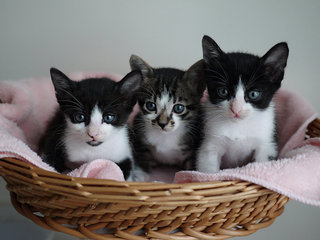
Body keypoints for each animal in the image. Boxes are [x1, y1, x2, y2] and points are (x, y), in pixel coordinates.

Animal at [196, 35, 288, 172]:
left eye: (253, 94)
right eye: (223, 91)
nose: (236, 109)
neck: (238, 126)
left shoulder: (267, 144)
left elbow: (262, 164)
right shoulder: (208, 146)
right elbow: (208, 170)